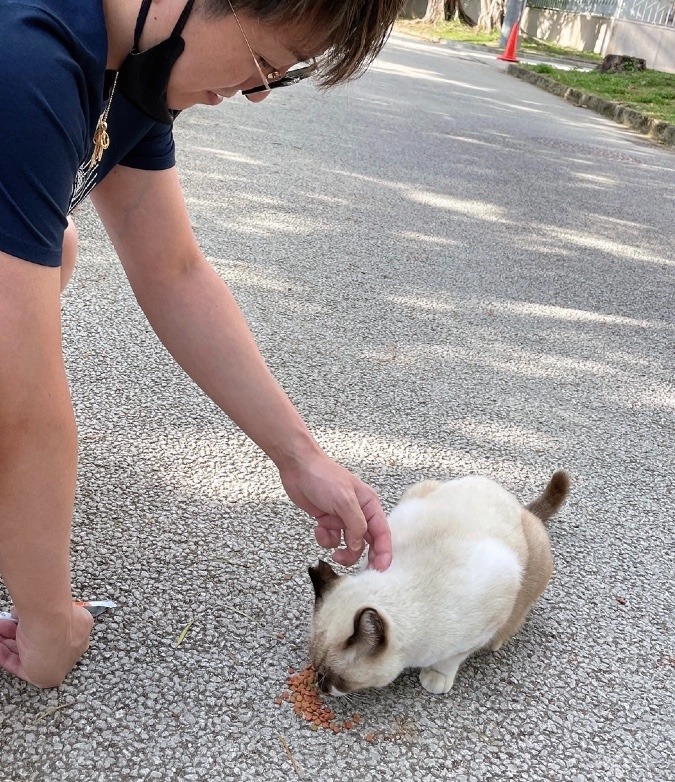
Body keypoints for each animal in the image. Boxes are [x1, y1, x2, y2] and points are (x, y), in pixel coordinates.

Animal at [308, 472, 568, 700]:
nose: (320, 685)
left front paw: (435, 677)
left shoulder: (481, 628)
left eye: (336, 678)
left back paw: (497, 641)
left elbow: (450, 660)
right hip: (419, 489)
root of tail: (517, 504)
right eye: (316, 668)